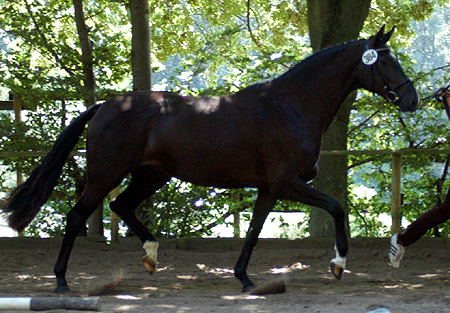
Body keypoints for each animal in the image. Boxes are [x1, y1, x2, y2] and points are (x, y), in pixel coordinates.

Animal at [2, 25, 418, 292]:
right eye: (386, 63)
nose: (412, 99)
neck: (292, 106)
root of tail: (105, 104)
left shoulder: (270, 188)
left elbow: (253, 231)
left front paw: (244, 278)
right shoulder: (288, 183)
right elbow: (336, 207)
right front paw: (338, 264)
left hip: (150, 175)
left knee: (122, 206)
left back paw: (151, 256)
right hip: (106, 175)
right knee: (76, 217)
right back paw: (61, 280)